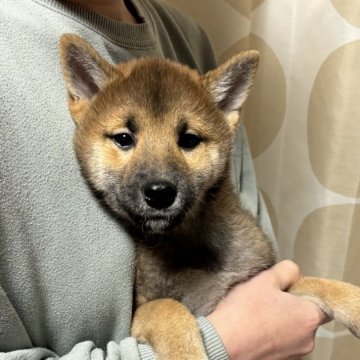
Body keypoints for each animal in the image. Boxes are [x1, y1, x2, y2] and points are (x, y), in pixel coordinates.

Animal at [59, 34, 360, 360]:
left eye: (189, 140)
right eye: (124, 139)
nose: (160, 193)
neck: (190, 241)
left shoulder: (264, 277)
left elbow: (316, 282)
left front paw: (354, 302)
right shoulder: (142, 311)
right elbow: (169, 308)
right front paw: (186, 352)